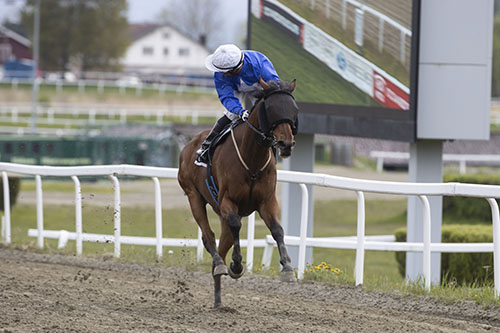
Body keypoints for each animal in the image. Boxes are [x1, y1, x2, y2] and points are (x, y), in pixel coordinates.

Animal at [178, 77, 298, 306]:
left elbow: (277, 229)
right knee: (209, 237)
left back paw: (218, 300)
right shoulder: (228, 201)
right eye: (272, 109)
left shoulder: (267, 201)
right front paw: (236, 265)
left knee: (222, 245)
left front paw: (287, 268)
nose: (286, 143)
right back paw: (220, 263)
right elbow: (236, 224)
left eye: (292, 108)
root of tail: (188, 146)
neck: (252, 158)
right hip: (193, 195)